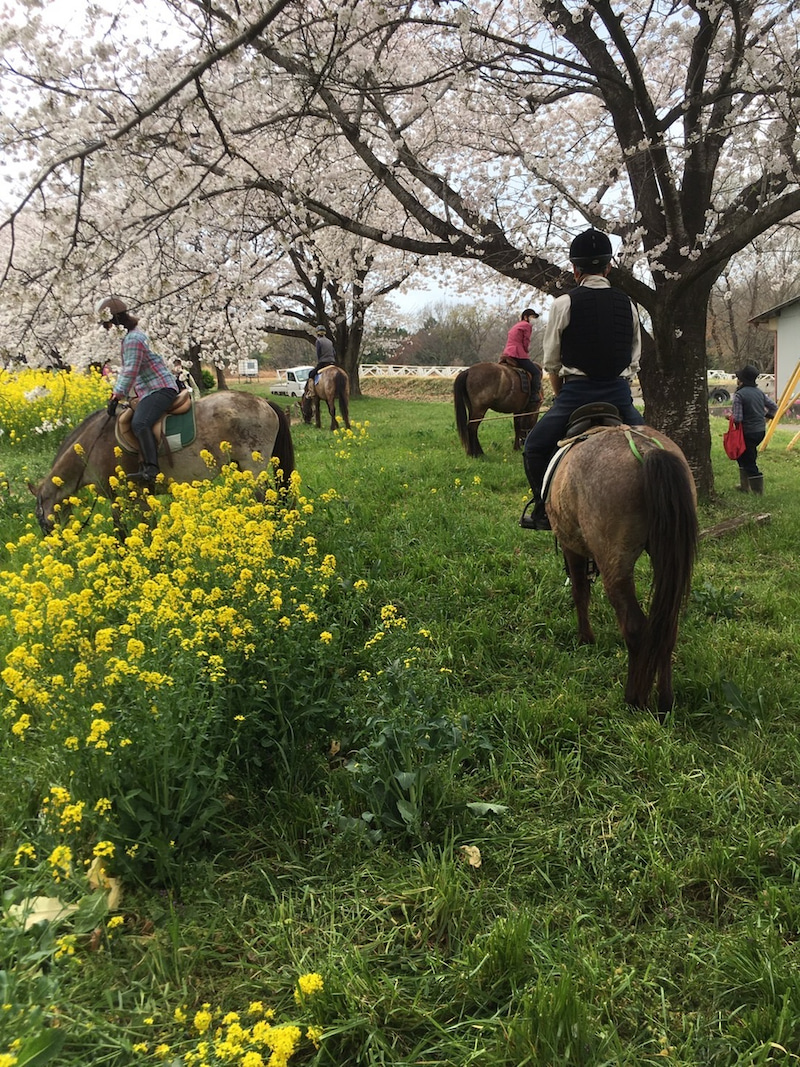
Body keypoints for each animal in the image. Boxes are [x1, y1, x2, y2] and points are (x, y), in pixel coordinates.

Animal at [28, 392, 298, 533]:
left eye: (43, 522)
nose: (58, 551)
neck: (93, 445)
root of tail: (262, 401)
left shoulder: (125, 496)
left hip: (253, 469)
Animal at [550, 422, 699, 717]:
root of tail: (648, 451)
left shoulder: (571, 546)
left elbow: (579, 592)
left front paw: (585, 638)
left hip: (614, 564)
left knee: (635, 628)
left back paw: (634, 699)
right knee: (667, 627)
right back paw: (665, 702)